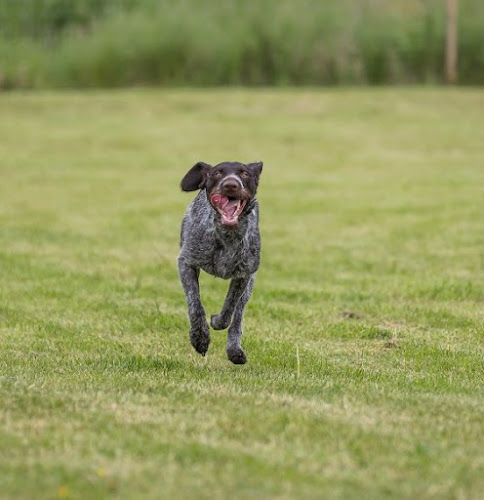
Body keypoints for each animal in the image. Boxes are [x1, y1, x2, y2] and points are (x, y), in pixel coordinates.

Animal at [178, 160, 262, 364]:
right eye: (216, 173)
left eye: (245, 173)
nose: (231, 184)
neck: (227, 236)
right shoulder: (186, 262)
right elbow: (195, 303)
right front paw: (200, 338)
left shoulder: (244, 275)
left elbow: (230, 309)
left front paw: (217, 321)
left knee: (237, 316)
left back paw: (234, 350)